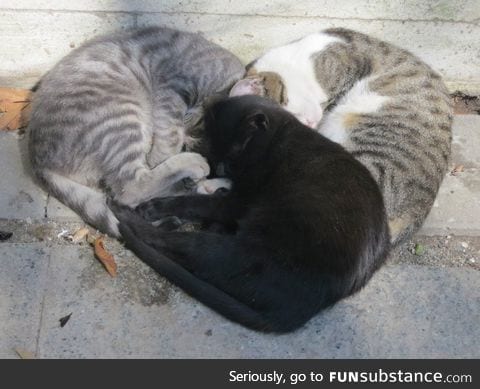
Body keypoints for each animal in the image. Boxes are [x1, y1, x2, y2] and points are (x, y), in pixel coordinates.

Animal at [27, 26, 244, 236]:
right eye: (191, 140)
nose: (189, 145)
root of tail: (39, 162)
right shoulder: (172, 90)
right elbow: (170, 136)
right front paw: (166, 157)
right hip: (122, 121)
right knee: (130, 189)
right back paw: (190, 169)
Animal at [111, 95, 390, 332]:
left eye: (237, 150)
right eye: (215, 148)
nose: (221, 167)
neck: (280, 138)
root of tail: (309, 305)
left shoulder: (240, 200)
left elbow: (196, 203)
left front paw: (157, 206)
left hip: (236, 249)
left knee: (175, 244)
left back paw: (126, 213)